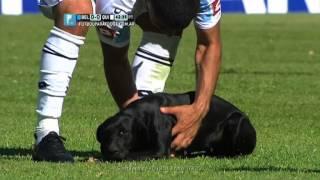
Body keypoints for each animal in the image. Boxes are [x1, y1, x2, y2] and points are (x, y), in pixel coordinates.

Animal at [96, 92, 256, 161]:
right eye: (105, 135)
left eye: (124, 132)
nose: (110, 150)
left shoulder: (159, 150)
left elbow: (130, 155)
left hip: (236, 121)